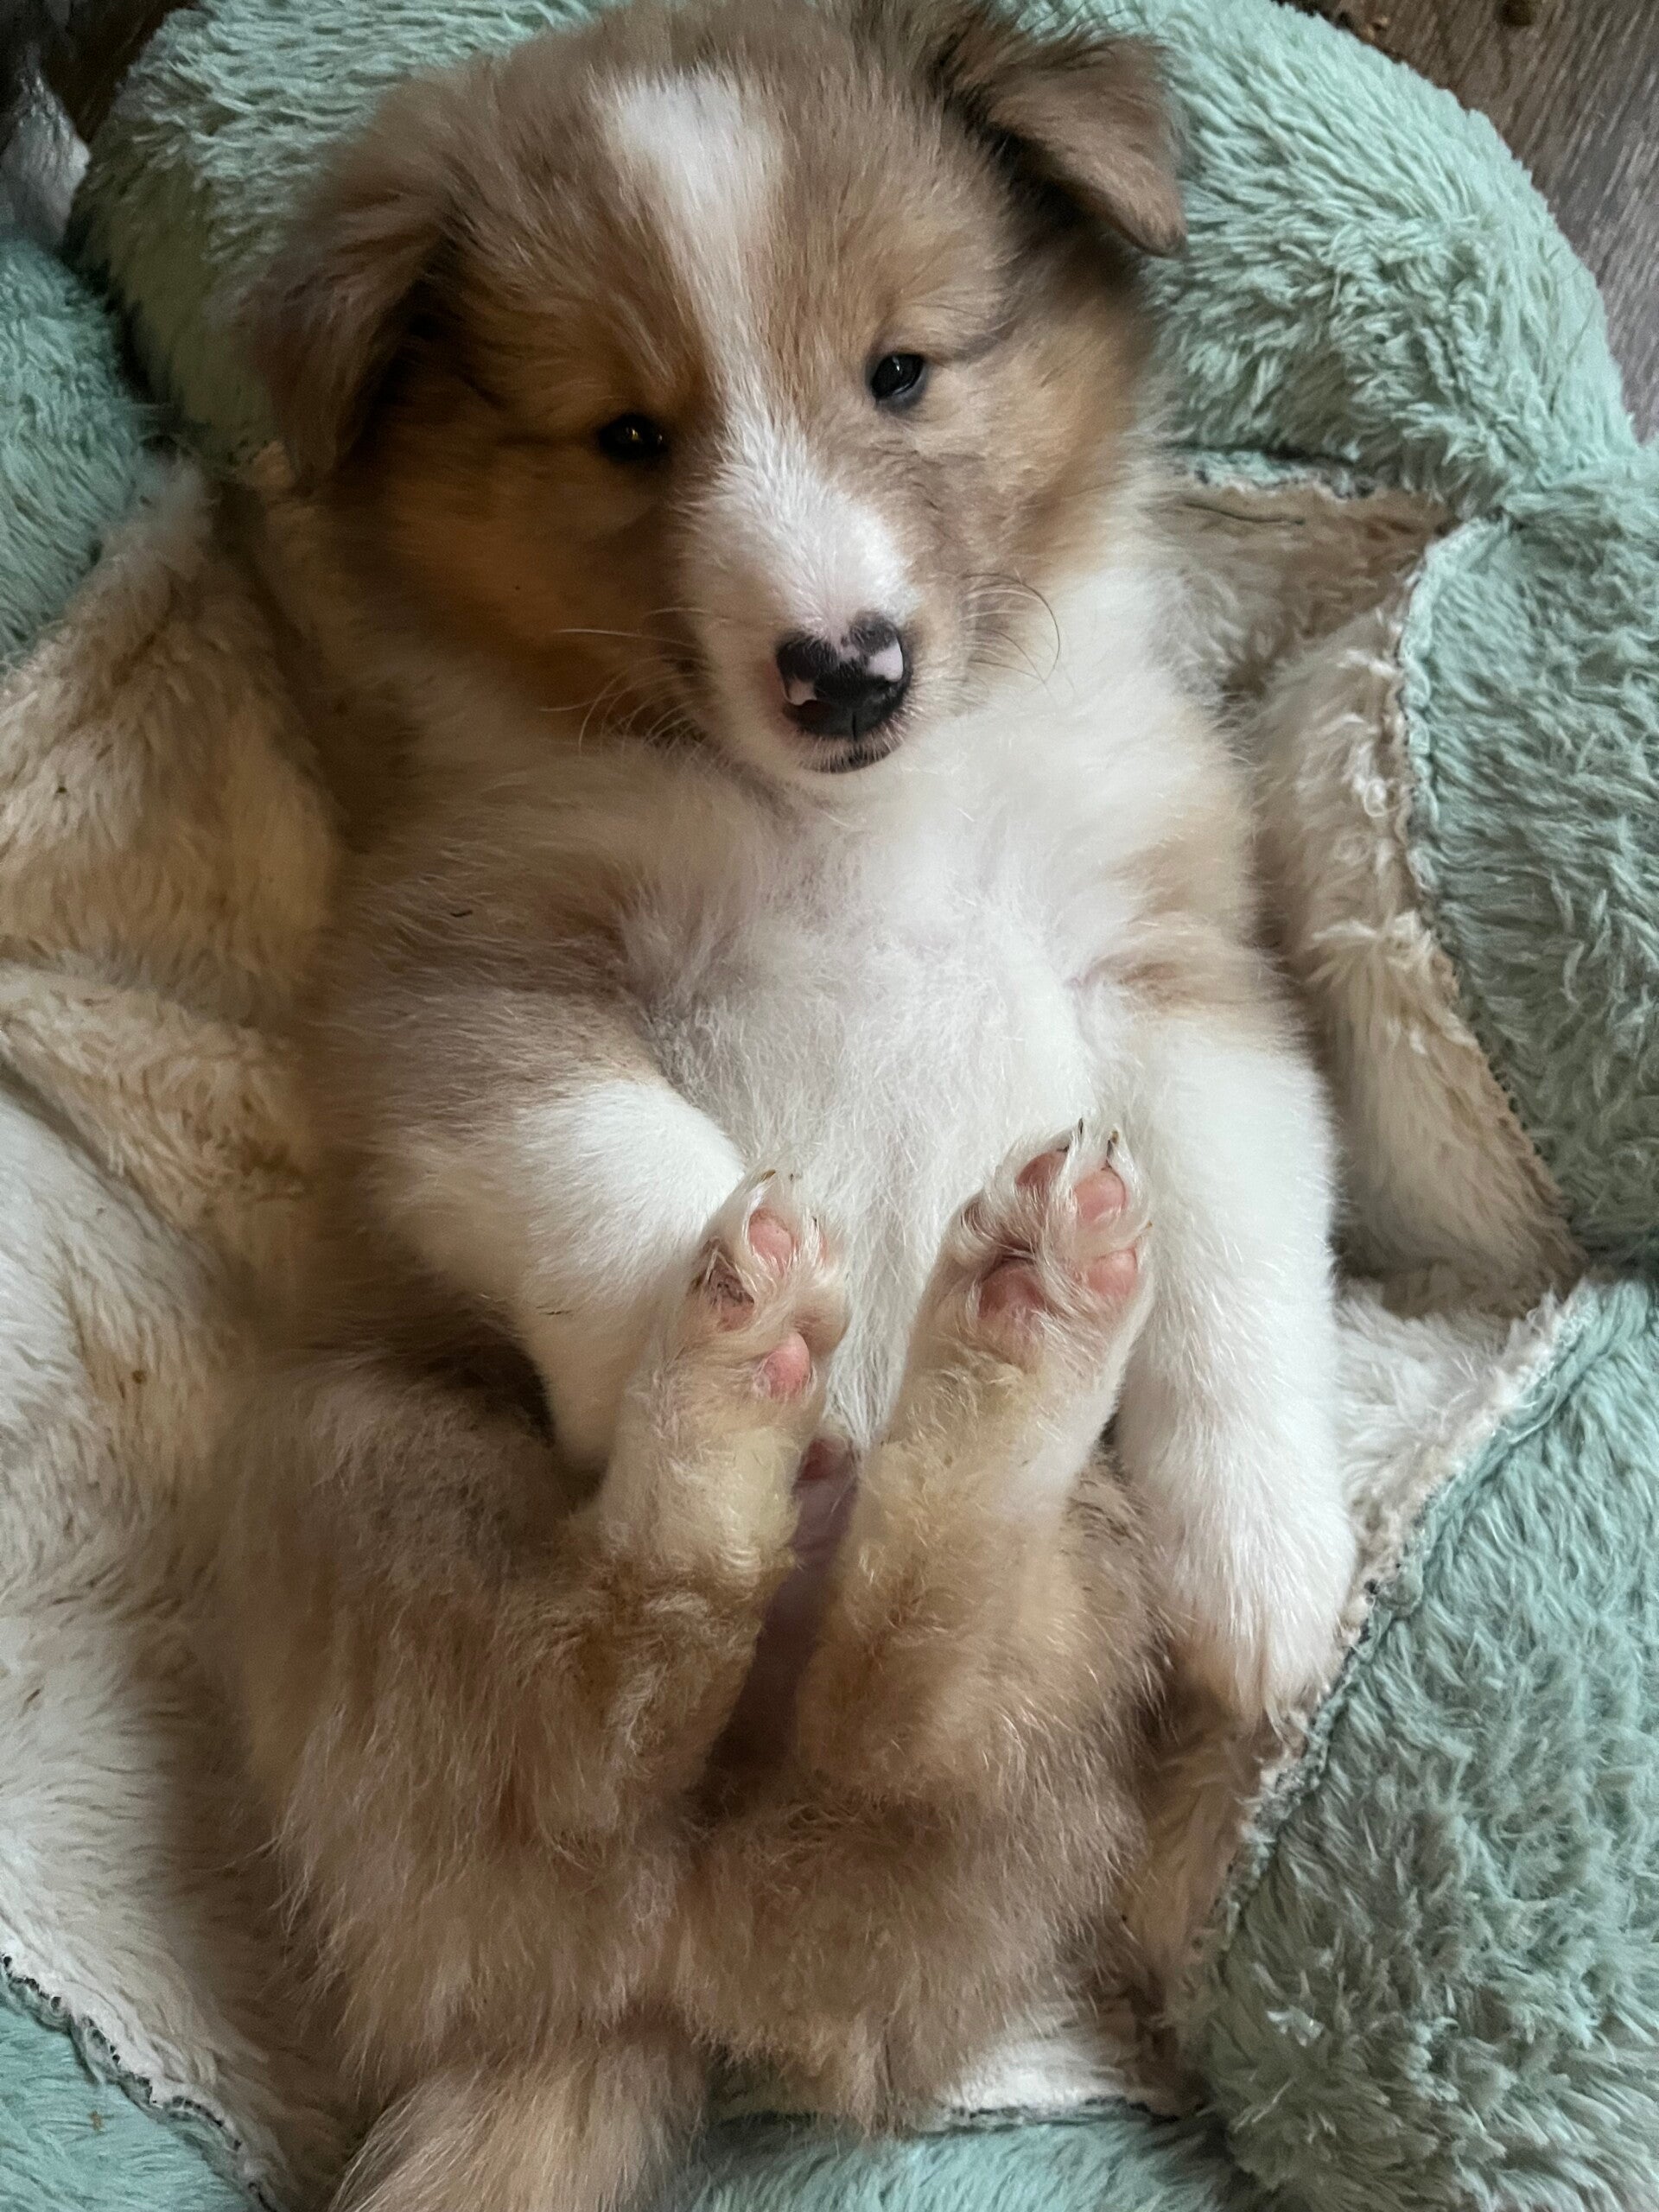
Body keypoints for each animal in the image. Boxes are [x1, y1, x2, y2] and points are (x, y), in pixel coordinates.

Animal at [222, 2, 1356, 2202]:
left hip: (1056, 1633)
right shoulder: (460, 973)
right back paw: (752, 1400)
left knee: (900, 1692)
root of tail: (641, 1984)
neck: (863, 810)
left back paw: (1019, 1325)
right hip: (359, 1452)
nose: (847, 666)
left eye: (899, 369)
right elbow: (616, 1164)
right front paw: (743, 1303)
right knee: (645, 1639)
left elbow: (1247, 1240)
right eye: (625, 436)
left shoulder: (1182, 975)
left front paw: (1276, 1575)